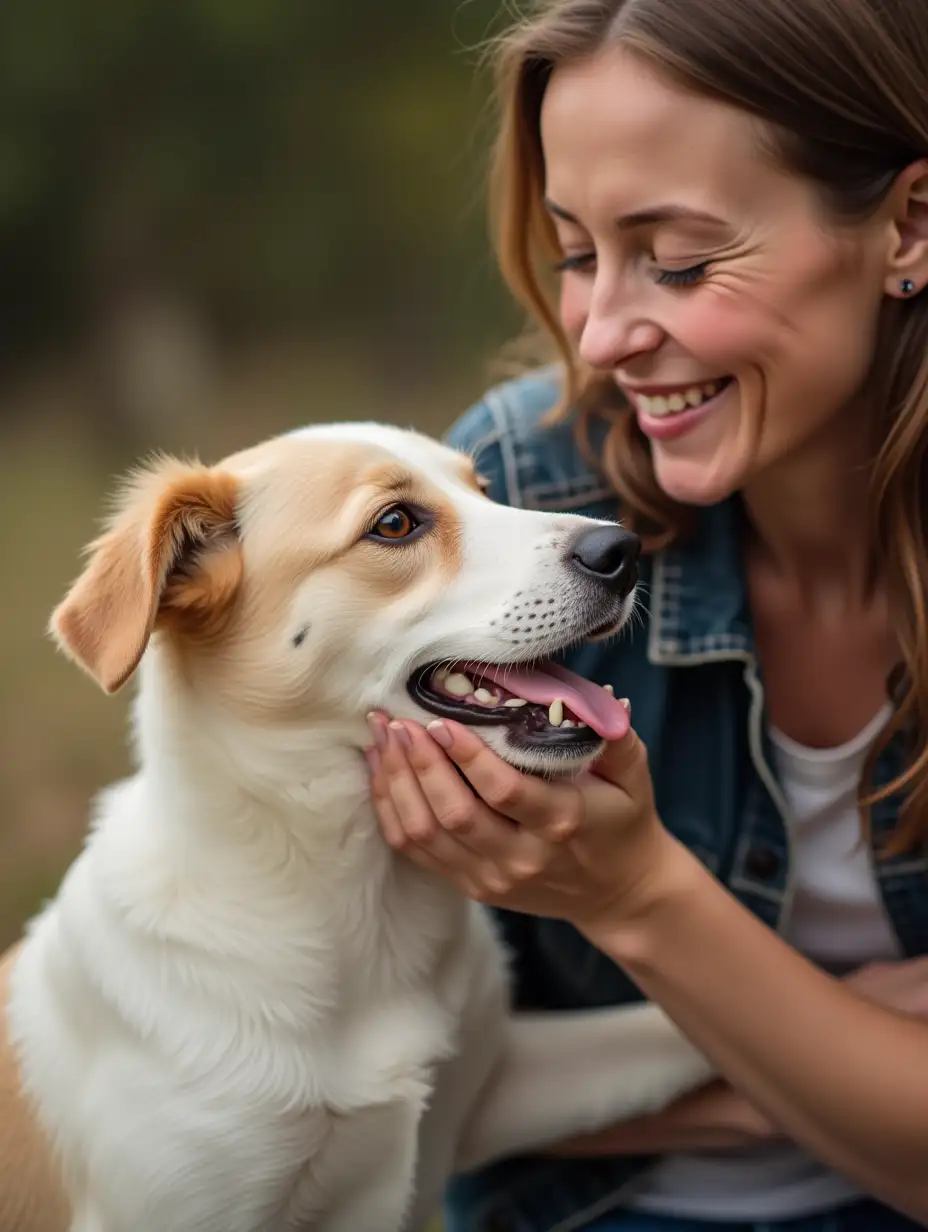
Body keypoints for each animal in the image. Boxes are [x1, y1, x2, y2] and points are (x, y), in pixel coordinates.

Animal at [3, 423, 709, 1232]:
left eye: (484, 489)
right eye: (395, 524)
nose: (622, 549)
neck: (353, 895)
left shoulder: (494, 1085)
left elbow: (674, 1026)